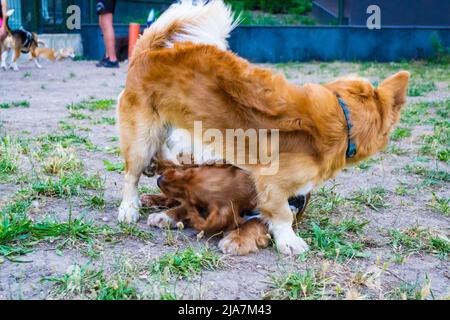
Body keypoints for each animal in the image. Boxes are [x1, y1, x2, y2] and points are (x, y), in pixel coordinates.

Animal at [117, 0, 412, 255]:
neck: (344, 117)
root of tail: (149, 52)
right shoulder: (272, 183)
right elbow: (280, 213)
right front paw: (289, 241)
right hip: (140, 139)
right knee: (131, 176)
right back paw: (129, 207)